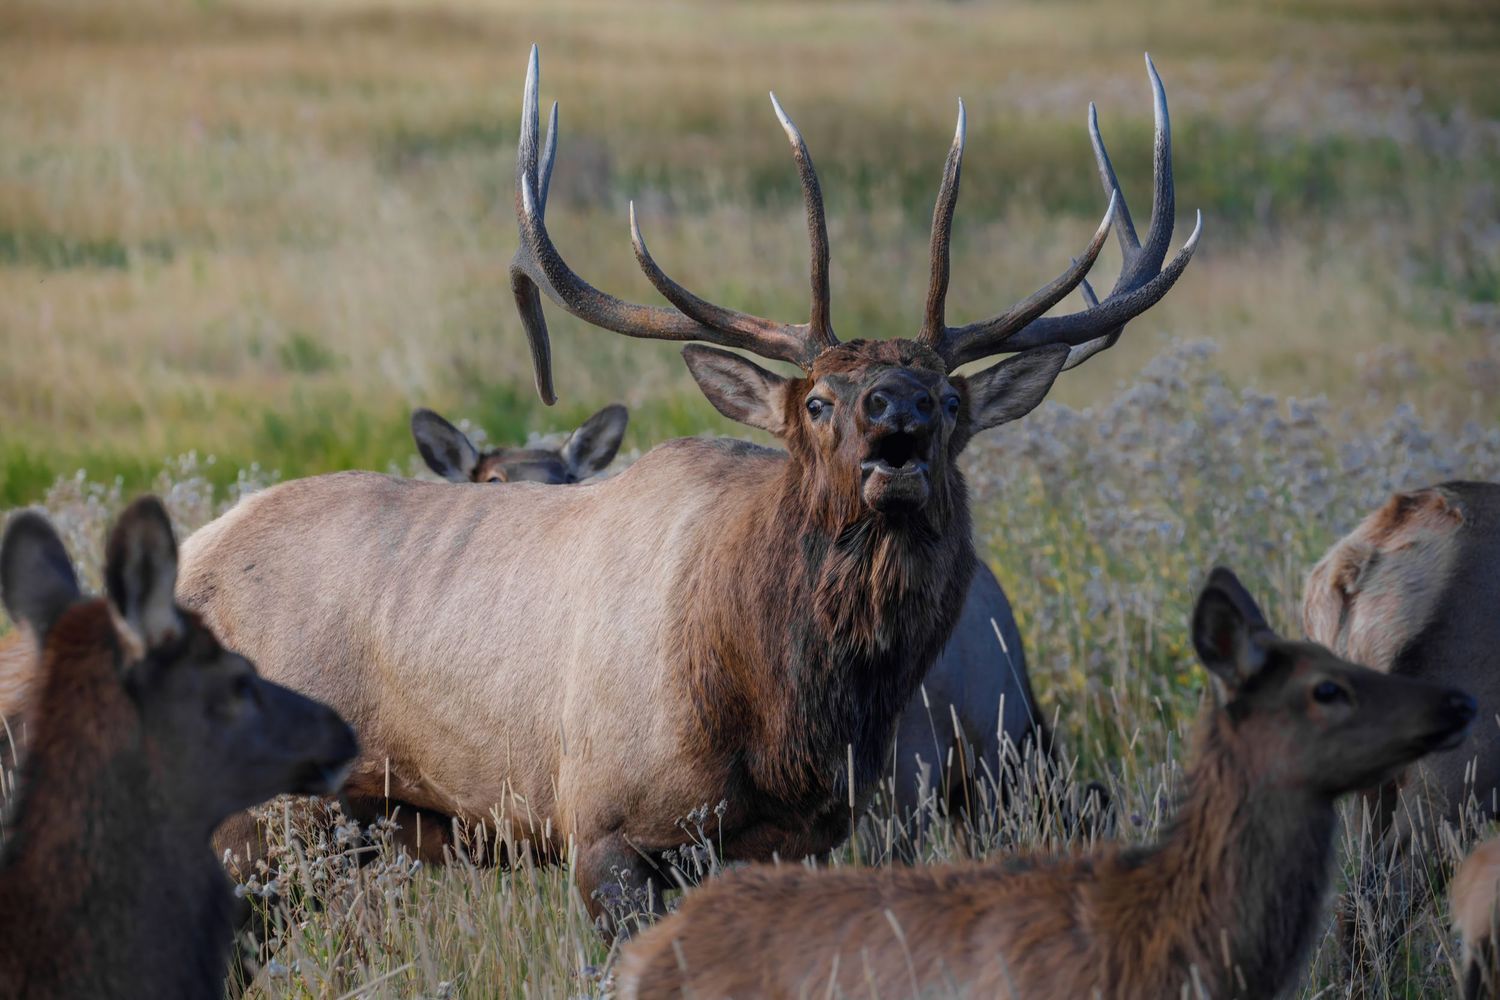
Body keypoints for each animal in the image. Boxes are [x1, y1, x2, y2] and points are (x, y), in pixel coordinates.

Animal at [178, 46, 1199, 931]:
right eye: (816, 400)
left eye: (951, 400)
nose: (897, 412)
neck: (783, 721)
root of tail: (187, 560)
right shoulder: (601, 827)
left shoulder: (799, 836)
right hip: (265, 823)